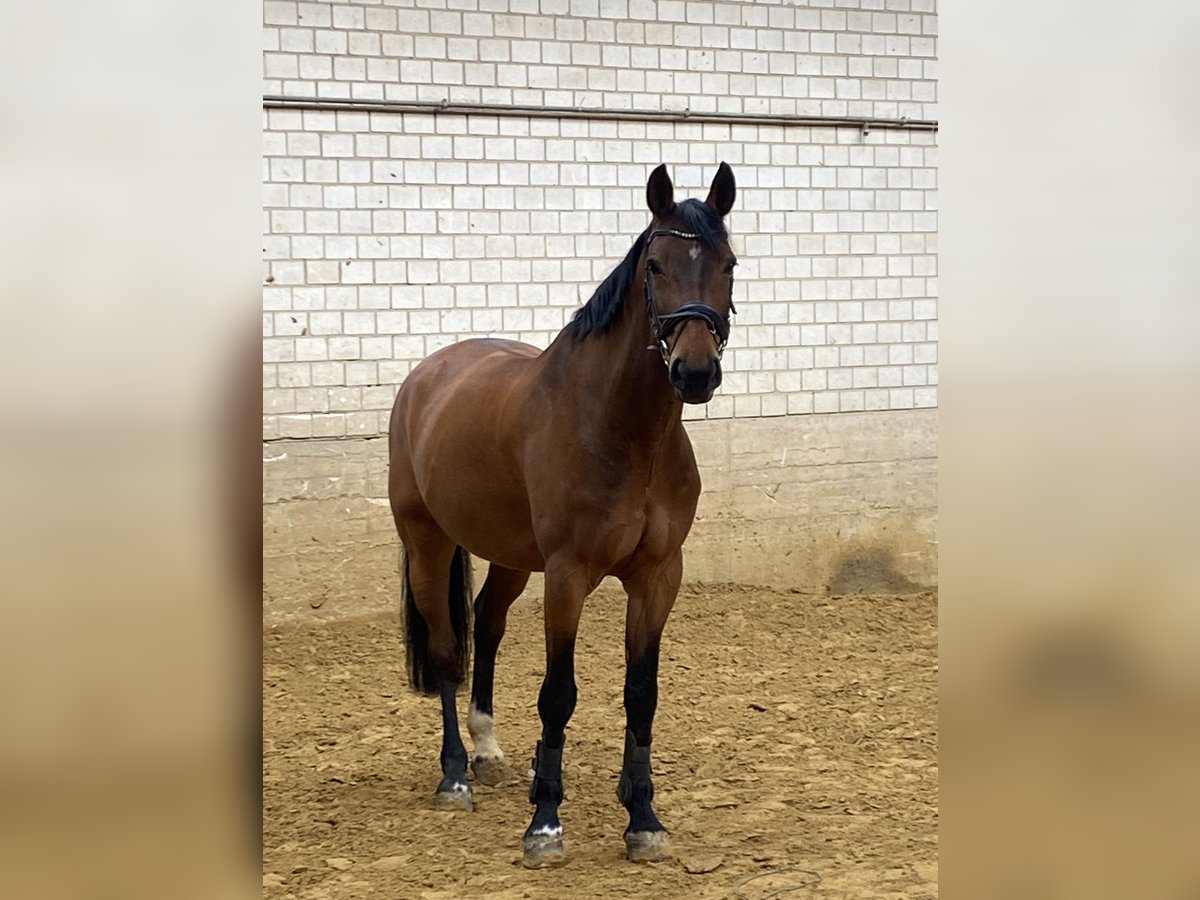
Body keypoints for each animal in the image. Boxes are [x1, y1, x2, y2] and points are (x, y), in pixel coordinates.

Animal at [388, 162, 734, 868]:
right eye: (654, 265)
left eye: (730, 264)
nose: (694, 372)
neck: (623, 432)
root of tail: (426, 376)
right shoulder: (569, 575)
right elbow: (559, 694)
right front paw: (545, 823)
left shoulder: (659, 576)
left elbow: (641, 694)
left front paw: (643, 817)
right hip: (428, 542)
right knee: (446, 649)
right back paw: (455, 775)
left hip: (511, 557)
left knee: (487, 623)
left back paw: (490, 751)